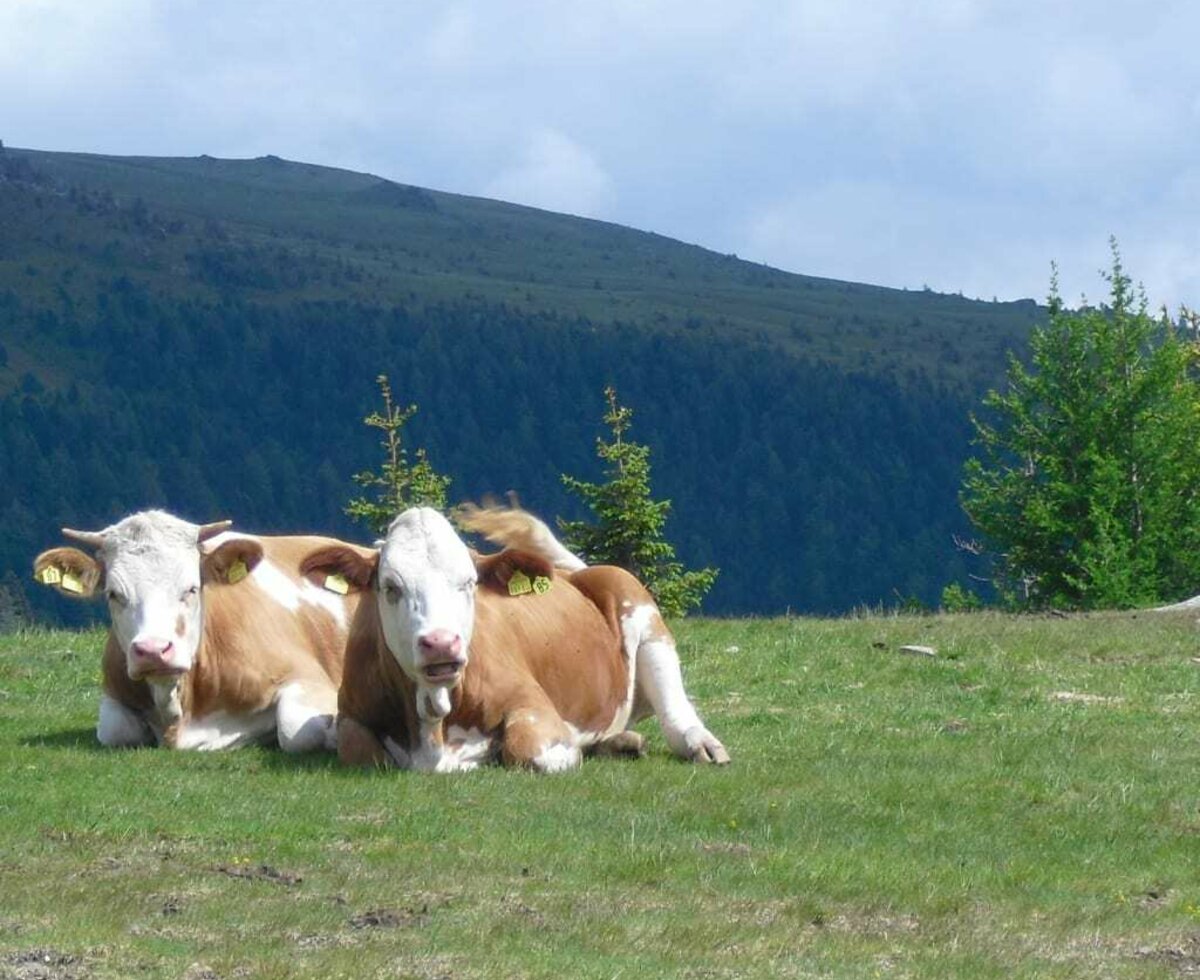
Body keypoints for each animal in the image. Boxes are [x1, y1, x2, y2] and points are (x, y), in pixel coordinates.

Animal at [35, 508, 367, 753]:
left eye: (191, 588)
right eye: (114, 594)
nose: (153, 650)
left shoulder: (305, 676)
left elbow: (296, 731)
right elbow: (116, 731)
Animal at [300, 503, 729, 772]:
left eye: (469, 583)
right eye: (391, 587)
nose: (441, 643)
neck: (433, 725)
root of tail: (575, 573)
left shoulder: (532, 704)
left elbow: (527, 750)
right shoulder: (351, 714)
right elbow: (358, 750)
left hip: (637, 604)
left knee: (674, 706)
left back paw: (700, 744)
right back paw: (619, 743)